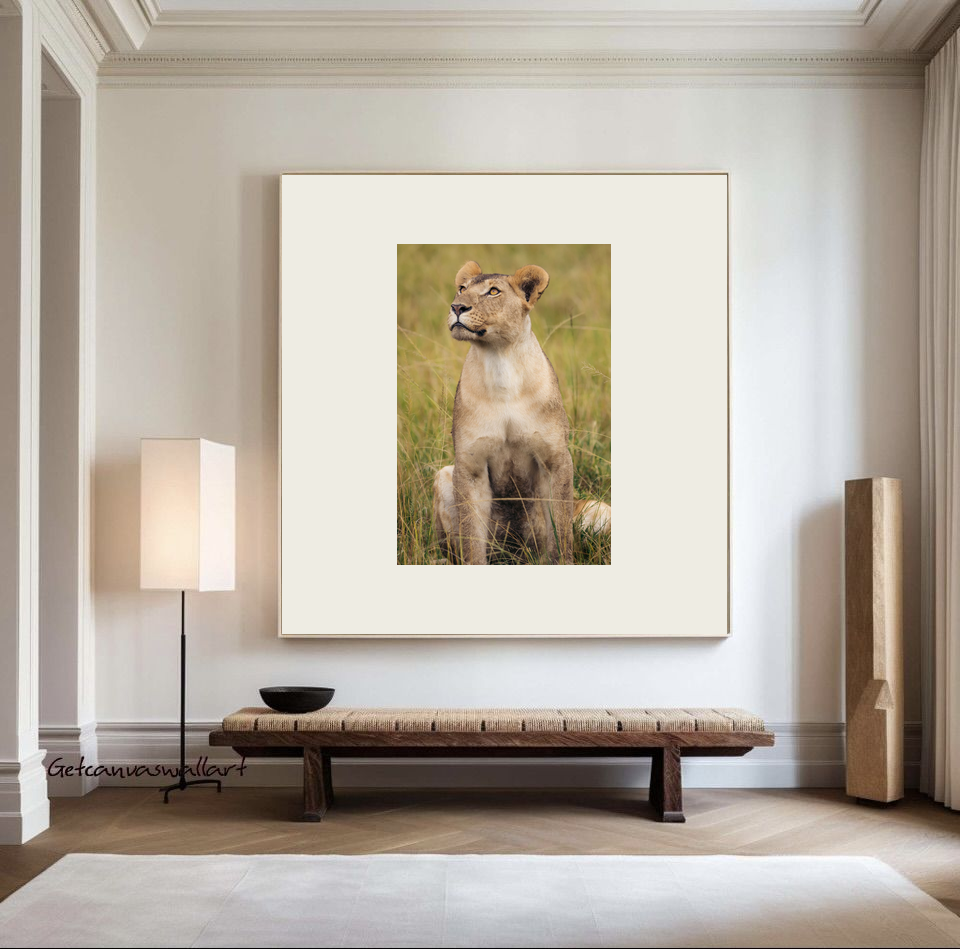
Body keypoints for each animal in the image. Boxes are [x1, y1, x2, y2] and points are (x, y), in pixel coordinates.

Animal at [433, 260, 611, 565]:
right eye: (462, 288)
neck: (500, 361)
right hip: (445, 475)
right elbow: (472, 541)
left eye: (493, 292)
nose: (457, 307)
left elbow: (560, 532)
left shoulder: (556, 459)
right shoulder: (470, 465)